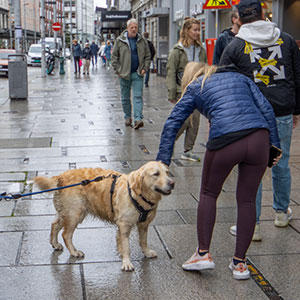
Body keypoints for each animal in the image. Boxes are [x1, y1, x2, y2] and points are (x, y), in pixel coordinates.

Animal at [34, 162, 175, 272]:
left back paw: (55, 243)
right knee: (66, 234)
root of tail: (60, 176)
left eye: (167, 172)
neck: (138, 194)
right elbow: (126, 246)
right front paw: (126, 263)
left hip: (66, 212)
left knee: (54, 225)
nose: (172, 183)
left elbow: (143, 241)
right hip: (75, 213)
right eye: (156, 174)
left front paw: (146, 252)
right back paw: (74, 252)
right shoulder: (124, 225)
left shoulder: (144, 224)